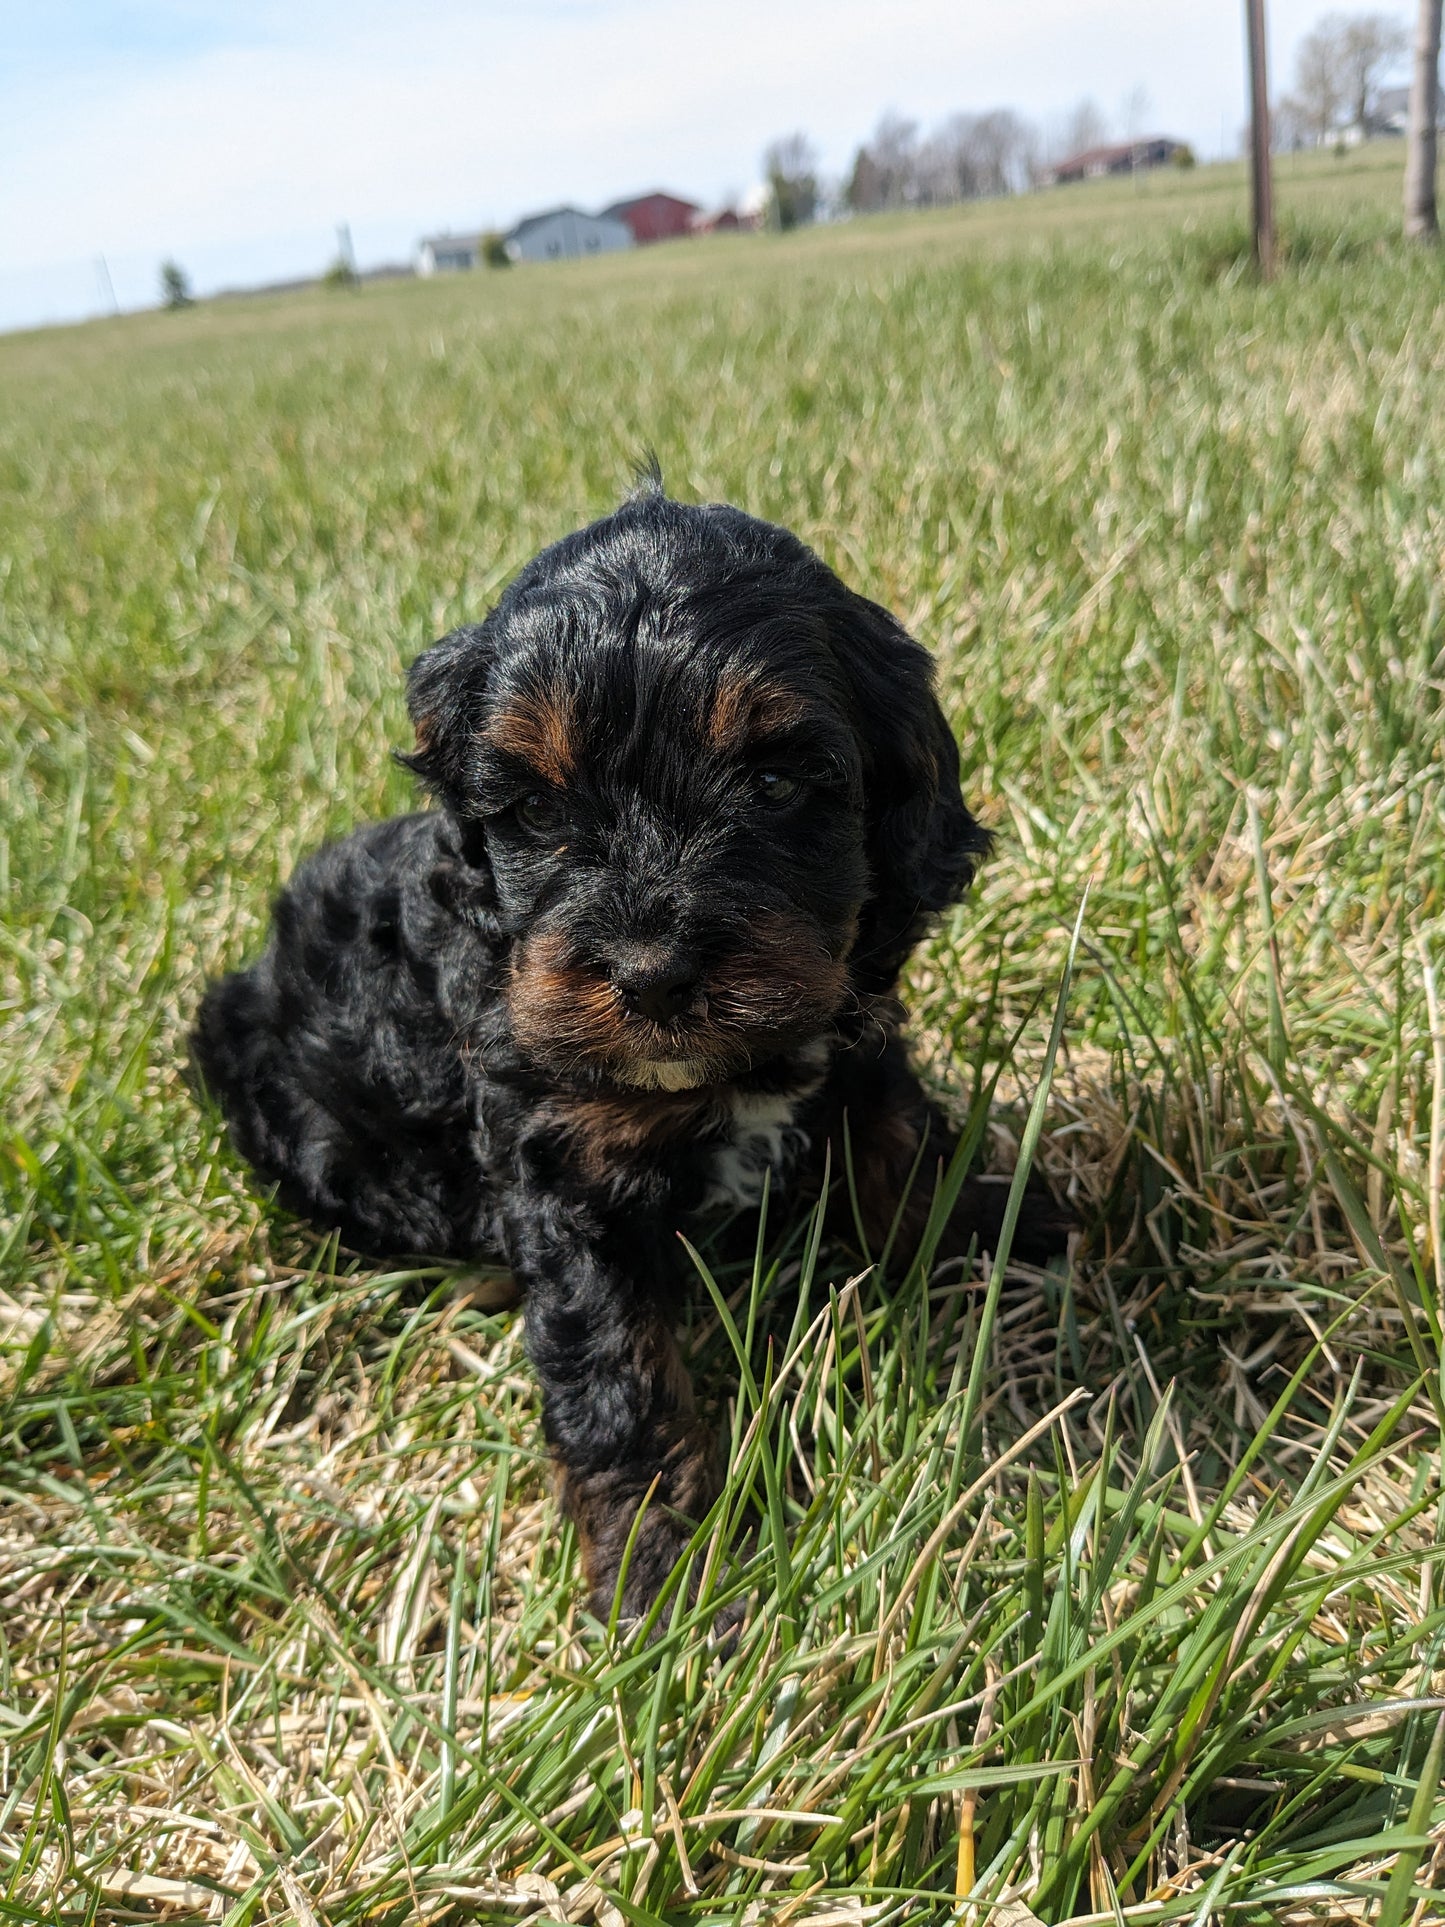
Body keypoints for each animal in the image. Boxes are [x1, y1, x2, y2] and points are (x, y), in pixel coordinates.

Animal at [192, 477, 1055, 1610]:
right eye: (531, 809)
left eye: (776, 786)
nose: (652, 973)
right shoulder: (567, 1163)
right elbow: (618, 1376)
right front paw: (663, 1580)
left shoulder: (855, 1034)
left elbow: (903, 1148)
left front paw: (1010, 1231)